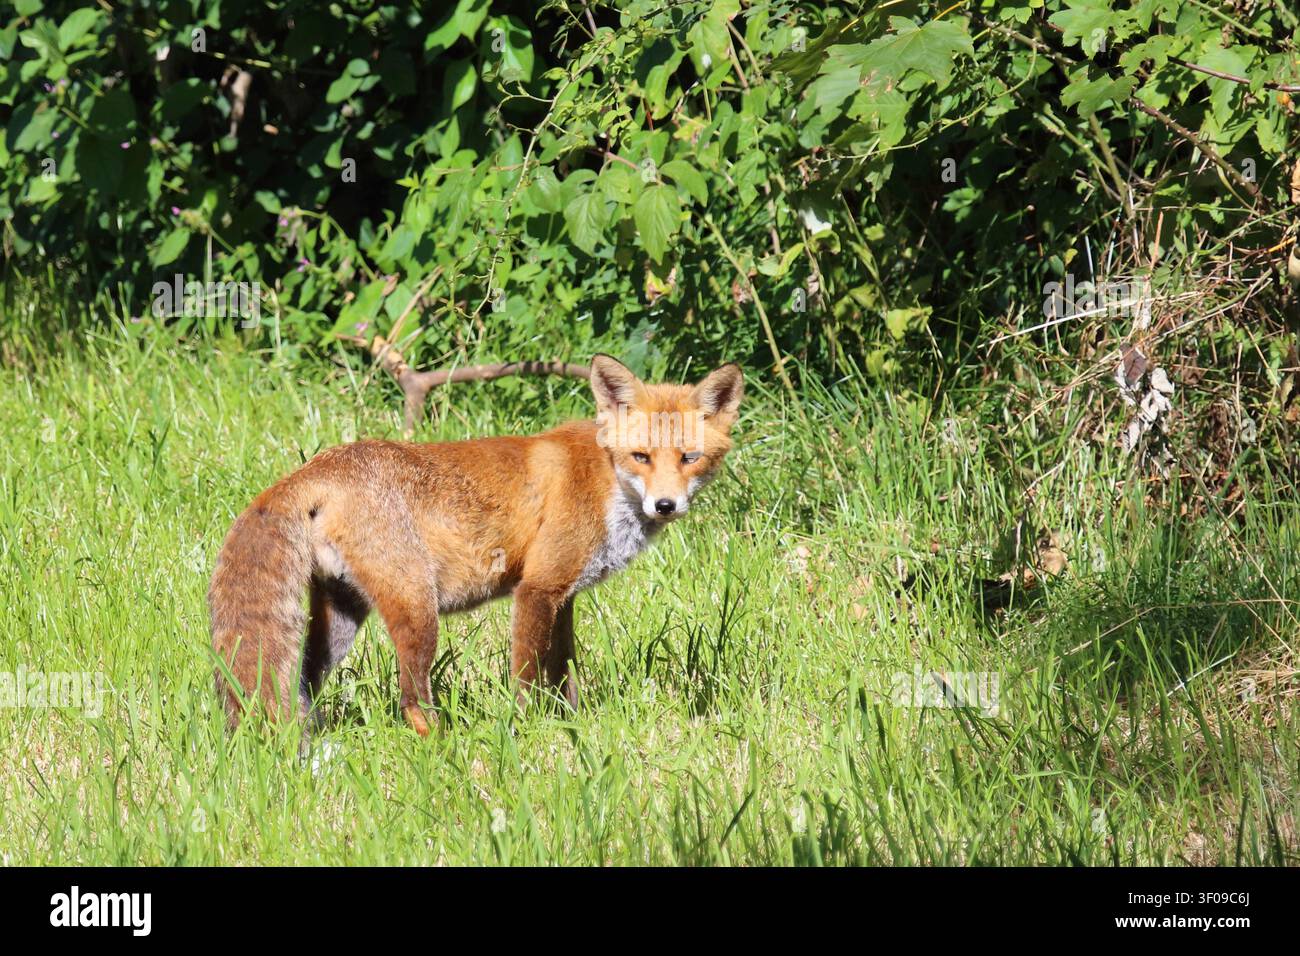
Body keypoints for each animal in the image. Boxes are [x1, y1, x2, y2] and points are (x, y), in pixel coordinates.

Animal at [208, 354, 743, 735]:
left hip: (342, 616)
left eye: (689, 458)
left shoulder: (563, 593)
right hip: (417, 609)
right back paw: (445, 745)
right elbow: (527, 678)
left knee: (306, 679)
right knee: (410, 701)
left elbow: (564, 674)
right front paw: (528, 732)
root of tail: (315, 466)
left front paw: (573, 726)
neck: (606, 479)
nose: (665, 505)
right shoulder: (537, 589)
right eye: (641, 457)